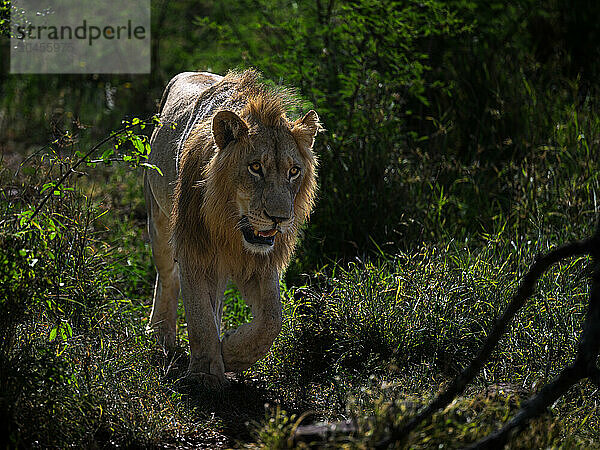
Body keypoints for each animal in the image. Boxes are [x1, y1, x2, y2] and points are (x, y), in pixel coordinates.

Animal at [144, 70, 318, 386]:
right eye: (255, 167)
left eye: (293, 171)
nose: (279, 218)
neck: (230, 227)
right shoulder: (193, 250)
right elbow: (199, 316)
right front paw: (204, 376)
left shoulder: (262, 261)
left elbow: (271, 320)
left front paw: (231, 352)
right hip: (158, 219)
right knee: (167, 278)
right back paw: (161, 335)